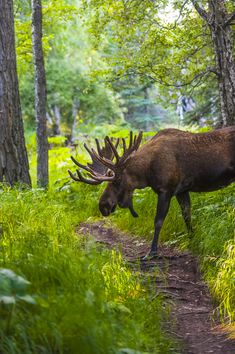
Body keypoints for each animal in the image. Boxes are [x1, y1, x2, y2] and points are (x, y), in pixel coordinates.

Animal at [67, 127, 235, 258]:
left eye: (116, 181)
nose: (103, 206)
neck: (146, 173)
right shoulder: (182, 190)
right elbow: (187, 216)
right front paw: (192, 239)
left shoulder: (166, 190)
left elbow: (158, 221)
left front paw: (152, 251)